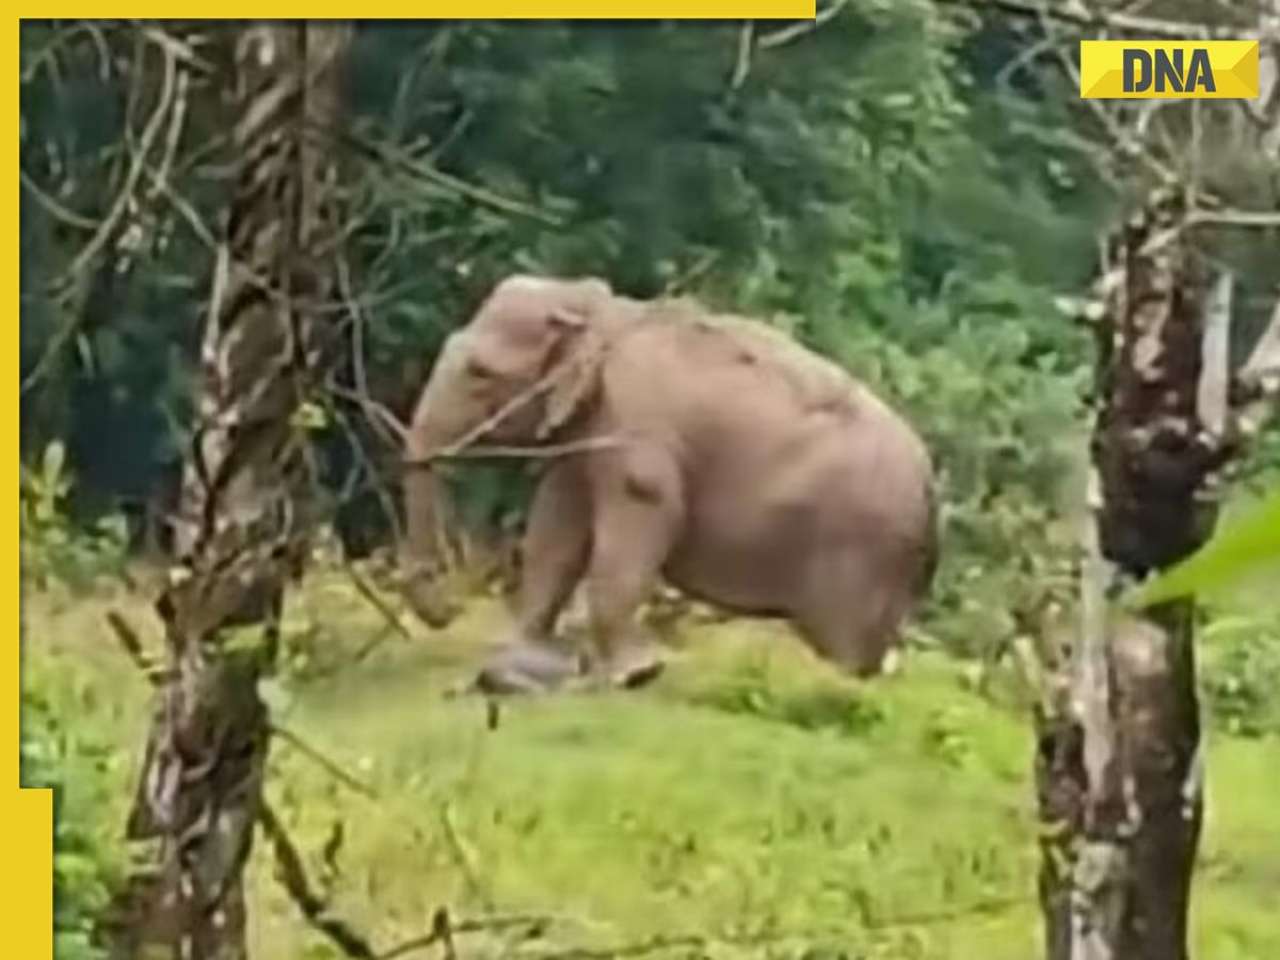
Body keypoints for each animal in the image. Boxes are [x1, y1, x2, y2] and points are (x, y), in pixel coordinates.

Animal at [400, 274, 939, 694]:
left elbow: (641, 511)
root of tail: (933, 488)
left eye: (479, 372)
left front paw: (635, 674)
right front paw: (522, 655)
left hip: (859, 548)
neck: (602, 311)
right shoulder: (587, 428)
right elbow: (555, 530)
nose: (449, 609)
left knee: (841, 641)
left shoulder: (634, 421)